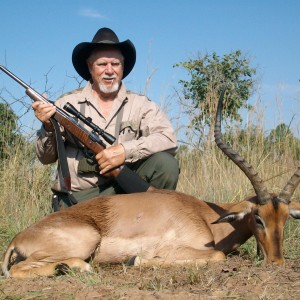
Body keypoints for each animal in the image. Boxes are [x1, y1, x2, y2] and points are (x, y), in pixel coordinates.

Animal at [1, 92, 300, 278]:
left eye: (286, 218)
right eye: (258, 218)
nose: (277, 262)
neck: (205, 215)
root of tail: (18, 238)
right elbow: (217, 256)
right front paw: (137, 260)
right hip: (85, 241)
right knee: (17, 271)